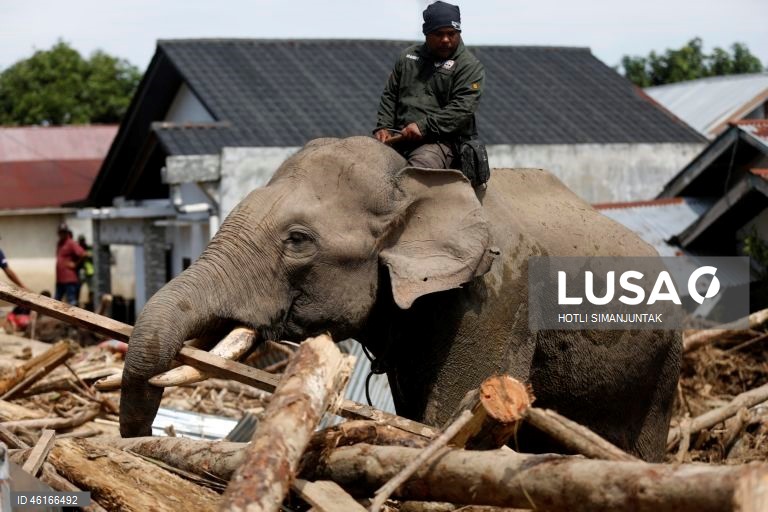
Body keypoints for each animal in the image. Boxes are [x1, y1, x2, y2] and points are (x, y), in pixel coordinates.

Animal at [120, 136, 681, 462]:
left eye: (298, 240)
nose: (138, 442)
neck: (411, 179)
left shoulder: (497, 298)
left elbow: (449, 414)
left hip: (665, 360)